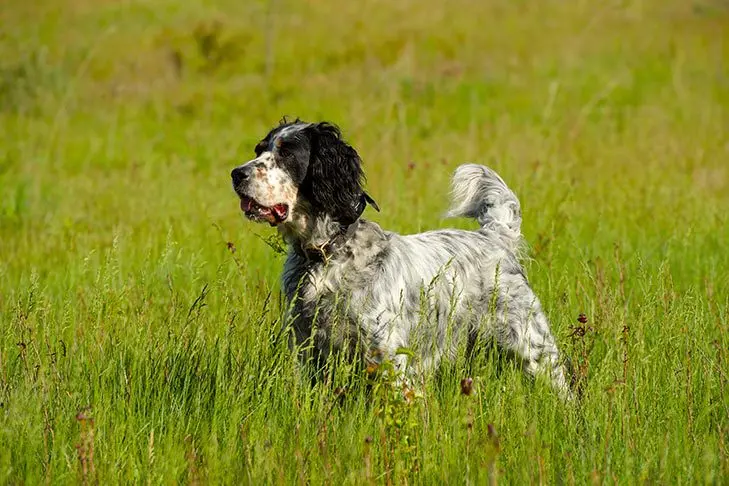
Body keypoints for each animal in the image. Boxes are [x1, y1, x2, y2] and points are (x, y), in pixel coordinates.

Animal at [230, 118, 572, 398]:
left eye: (287, 154)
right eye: (259, 149)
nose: (236, 174)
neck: (327, 255)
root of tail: (493, 237)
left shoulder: (387, 357)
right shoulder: (306, 349)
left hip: (533, 346)